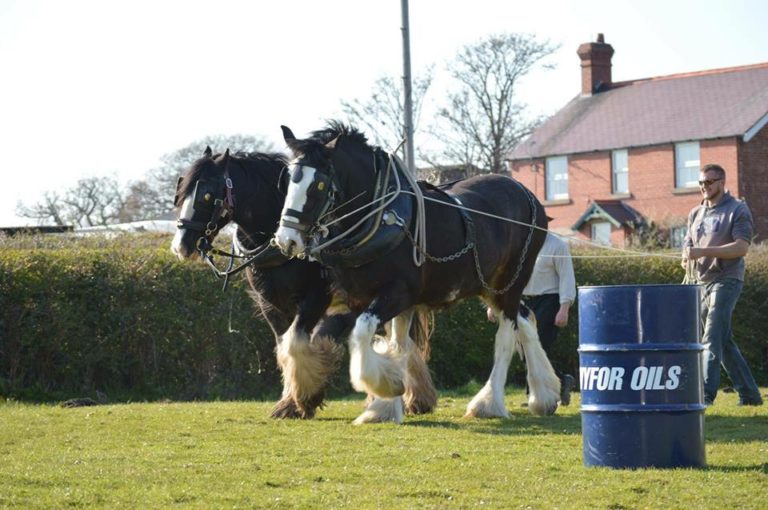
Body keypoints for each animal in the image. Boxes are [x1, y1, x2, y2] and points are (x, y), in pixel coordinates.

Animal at [171, 146, 352, 418]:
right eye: (180, 193)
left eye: (206, 195)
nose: (180, 245)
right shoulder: (270, 304)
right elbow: (284, 345)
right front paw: (291, 400)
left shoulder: (317, 297)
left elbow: (296, 342)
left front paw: (304, 398)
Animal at [272, 123, 560, 422]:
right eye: (288, 182)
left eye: (318, 183)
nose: (286, 240)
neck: (380, 218)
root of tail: (525, 192)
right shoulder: (358, 298)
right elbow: (392, 343)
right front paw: (384, 406)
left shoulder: (397, 294)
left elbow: (364, 333)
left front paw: (388, 386)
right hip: (490, 287)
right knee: (525, 319)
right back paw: (545, 396)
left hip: (511, 281)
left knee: (505, 335)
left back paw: (488, 403)